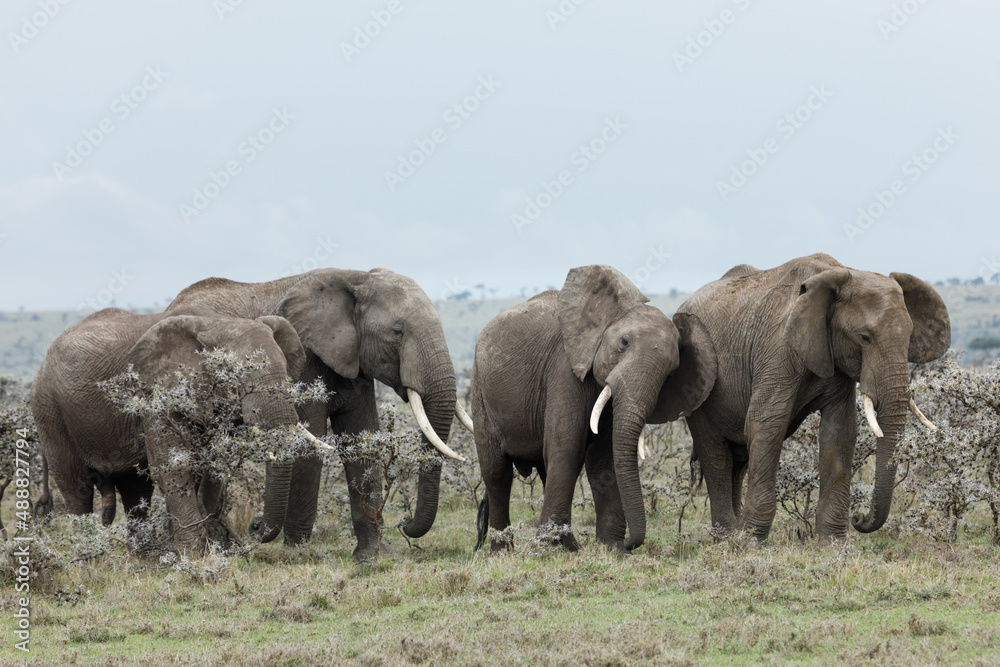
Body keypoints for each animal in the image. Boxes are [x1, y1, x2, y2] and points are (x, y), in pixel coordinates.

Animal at [31, 308, 318, 550]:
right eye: (235, 375)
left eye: (286, 372)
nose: (254, 526)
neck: (216, 323)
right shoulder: (156, 391)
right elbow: (171, 465)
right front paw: (194, 553)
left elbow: (210, 468)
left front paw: (208, 545)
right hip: (49, 409)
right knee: (76, 487)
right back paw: (89, 555)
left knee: (135, 488)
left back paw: (143, 553)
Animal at [167, 267, 470, 559]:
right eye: (397, 332)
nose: (405, 523)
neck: (357, 277)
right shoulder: (303, 359)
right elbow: (309, 440)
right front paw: (297, 554)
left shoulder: (355, 361)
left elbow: (362, 439)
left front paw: (376, 555)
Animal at [472, 265, 718, 552]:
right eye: (624, 342)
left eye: (672, 372)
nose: (629, 543)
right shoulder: (564, 368)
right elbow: (567, 446)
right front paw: (547, 548)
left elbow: (603, 456)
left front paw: (610, 548)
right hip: (480, 389)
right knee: (496, 471)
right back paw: (502, 551)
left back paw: (567, 545)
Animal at [676, 253, 950, 543]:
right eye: (864, 337)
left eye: (909, 337)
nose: (858, 518)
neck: (841, 273)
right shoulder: (777, 351)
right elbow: (766, 425)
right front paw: (751, 543)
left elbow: (839, 432)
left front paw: (832, 544)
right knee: (716, 456)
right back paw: (728, 537)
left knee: (737, 460)